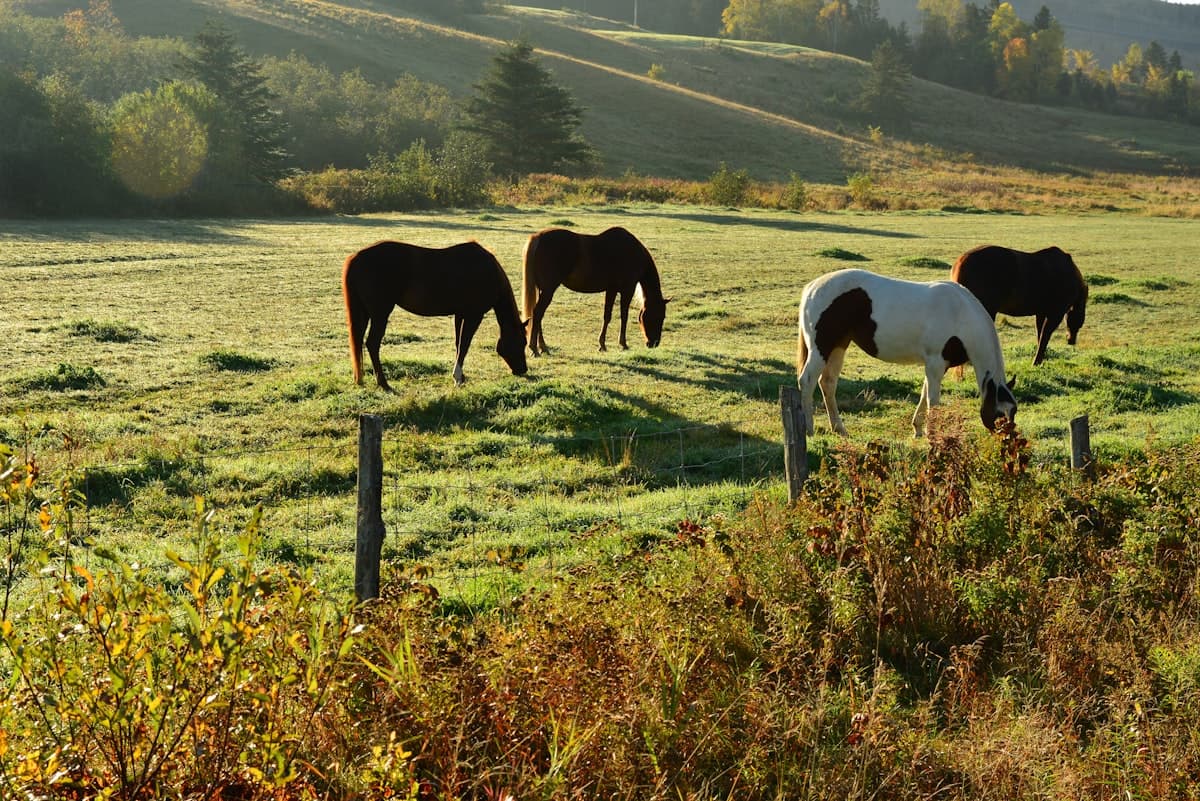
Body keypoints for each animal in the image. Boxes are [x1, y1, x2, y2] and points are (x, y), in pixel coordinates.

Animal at [342, 240, 528, 390]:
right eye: (521, 343)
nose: (523, 370)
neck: (488, 272)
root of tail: (355, 258)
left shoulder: (460, 314)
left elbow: (459, 344)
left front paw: (460, 377)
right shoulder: (474, 315)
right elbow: (465, 345)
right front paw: (458, 378)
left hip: (365, 314)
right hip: (380, 314)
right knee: (373, 344)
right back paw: (383, 383)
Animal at [521, 226, 669, 355]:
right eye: (659, 316)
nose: (654, 343)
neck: (632, 253)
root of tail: (538, 237)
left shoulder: (612, 290)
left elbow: (607, 316)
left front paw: (602, 344)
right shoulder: (627, 289)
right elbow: (624, 316)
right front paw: (623, 344)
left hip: (543, 290)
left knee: (538, 315)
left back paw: (542, 347)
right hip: (548, 290)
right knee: (538, 313)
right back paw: (534, 348)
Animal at [797, 268, 1017, 437]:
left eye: (1013, 411)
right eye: (999, 414)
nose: (1010, 442)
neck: (960, 314)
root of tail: (812, 287)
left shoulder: (938, 365)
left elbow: (924, 393)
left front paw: (918, 428)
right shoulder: (935, 363)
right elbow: (933, 400)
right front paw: (933, 435)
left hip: (838, 347)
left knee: (827, 383)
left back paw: (839, 429)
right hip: (820, 349)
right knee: (807, 381)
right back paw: (808, 430)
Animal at [951, 244, 1088, 366]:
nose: (1071, 341)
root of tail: (960, 262)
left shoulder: (1041, 313)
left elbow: (1040, 335)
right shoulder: (1055, 314)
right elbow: (1045, 336)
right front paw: (1037, 362)